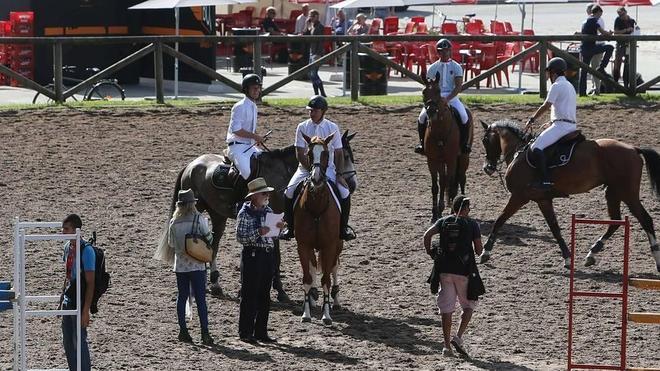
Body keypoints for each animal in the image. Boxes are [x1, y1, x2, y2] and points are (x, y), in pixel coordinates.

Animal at [157, 132, 358, 300]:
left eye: (330, 154)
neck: (282, 172)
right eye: (344, 156)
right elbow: (276, 256)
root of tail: (191, 164)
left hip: (217, 214)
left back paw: (215, 283)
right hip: (195, 209)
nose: (350, 184)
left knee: (214, 243)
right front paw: (280, 290)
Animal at [296, 134, 346, 326]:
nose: (316, 179)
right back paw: (311, 298)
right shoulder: (303, 245)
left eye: (325, 153)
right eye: (309, 153)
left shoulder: (330, 246)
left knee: (334, 267)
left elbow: (326, 279)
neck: (317, 207)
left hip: (338, 245)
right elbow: (307, 278)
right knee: (313, 267)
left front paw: (327, 315)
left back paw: (336, 301)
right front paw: (306, 313)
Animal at [422, 75, 474, 221]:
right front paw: (435, 212)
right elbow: (436, 185)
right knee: (444, 180)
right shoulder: (432, 160)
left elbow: (450, 182)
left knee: (461, 178)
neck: (440, 130)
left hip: (463, 158)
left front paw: (451, 210)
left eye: (438, 91)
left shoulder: (451, 160)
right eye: (424, 92)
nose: (431, 111)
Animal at [480, 120, 660, 272]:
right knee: (615, 221)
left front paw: (485, 252)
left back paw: (656, 260)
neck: (520, 152)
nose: (487, 167)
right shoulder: (543, 200)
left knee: (645, 220)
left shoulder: (519, 197)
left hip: (627, 194)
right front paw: (567, 258)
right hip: (613, 193)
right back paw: (592, 253)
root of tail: (634, 149)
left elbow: (499, 220)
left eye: (485, 140)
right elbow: (555, 229)